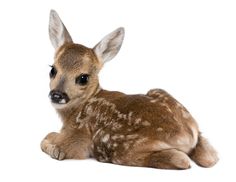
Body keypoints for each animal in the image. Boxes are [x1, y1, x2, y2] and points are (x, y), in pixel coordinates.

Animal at [40, 9, 218, 169]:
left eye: (83, 78)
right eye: (52, 70)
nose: (57, 95)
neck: (75, 111)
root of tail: (186, 136)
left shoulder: (78, 138)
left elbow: (48, 141)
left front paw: (54, 147)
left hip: (115, 145)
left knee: (181, 160)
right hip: (165, 97)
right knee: (211, 157)